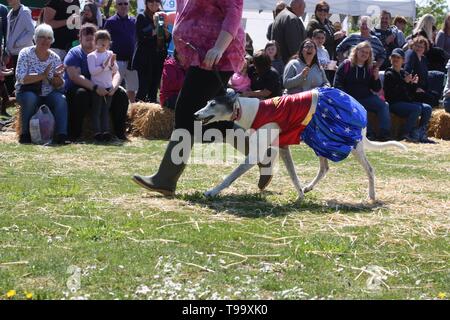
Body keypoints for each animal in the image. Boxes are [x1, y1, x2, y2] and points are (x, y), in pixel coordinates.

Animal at [194, 89, 408, 201]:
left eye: (213, 104)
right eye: (207, 102)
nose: (195, 114)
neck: (250, 110)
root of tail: (360, 108)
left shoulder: (256, 154)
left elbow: (231, 176)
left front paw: (212, 191)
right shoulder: (283, 148)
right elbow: (293, 176)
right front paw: (300, 196)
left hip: (349, 144)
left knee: (370, 169)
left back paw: (371, 196)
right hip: (321, 140)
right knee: (324, 168)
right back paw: (308, 188)